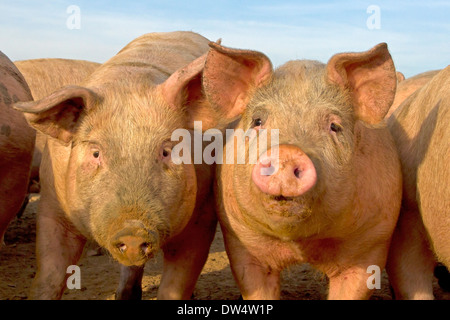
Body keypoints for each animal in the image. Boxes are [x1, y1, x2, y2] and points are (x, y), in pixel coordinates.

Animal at [200, 42, 400, 300]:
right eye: (257, 121)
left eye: (334, 126)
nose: (288, 151)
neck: (300, 245)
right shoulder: (239, 239)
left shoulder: (372, 243)